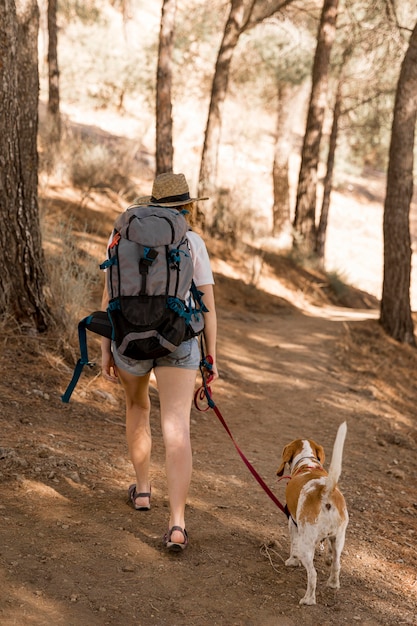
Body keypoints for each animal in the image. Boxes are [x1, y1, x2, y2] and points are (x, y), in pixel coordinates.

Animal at [276, 422, 348, 604]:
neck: (307, 463)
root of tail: (325, 491)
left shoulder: (292, 523)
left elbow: (293, 546)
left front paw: (292, 561)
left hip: (306, 544)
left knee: (313, 574)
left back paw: (308, 599)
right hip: (339, 539)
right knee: (337, 564)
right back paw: (333, 584)